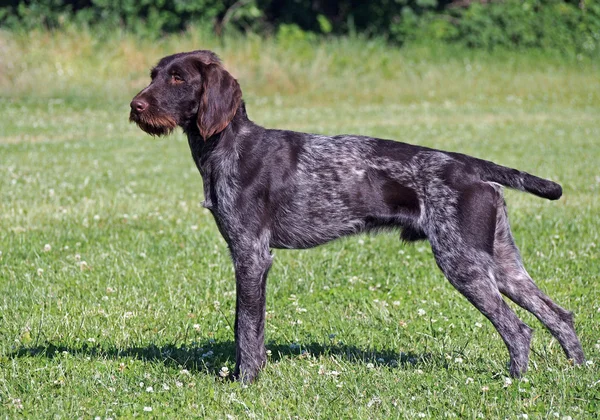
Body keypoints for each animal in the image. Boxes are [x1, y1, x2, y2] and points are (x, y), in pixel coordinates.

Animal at [131, 50, 584, 384]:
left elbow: (246, 327)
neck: (227, 145)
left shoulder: (251, 255)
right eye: (154, 75)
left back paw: (515, 381)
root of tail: (472, 167)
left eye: (178, 79)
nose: (135, 106)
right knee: (557, 315)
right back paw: (579, 370)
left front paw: (246, 382)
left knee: (518, 328)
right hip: (502, 263)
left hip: (464, 263)